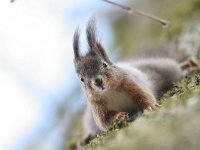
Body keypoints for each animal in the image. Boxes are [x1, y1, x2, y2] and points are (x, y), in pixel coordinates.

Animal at [73, 17, 198, 145]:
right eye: (81, 79)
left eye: (104, 64)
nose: (98, 81)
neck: (110, 91)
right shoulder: (96, 106)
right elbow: (105, 121)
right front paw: (118, 116)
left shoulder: (131, 83)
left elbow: (143, 96)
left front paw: (151, 106)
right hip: (90, 117)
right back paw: (84, 139)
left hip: (165, 69)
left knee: (176, 67)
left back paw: (187, 63)